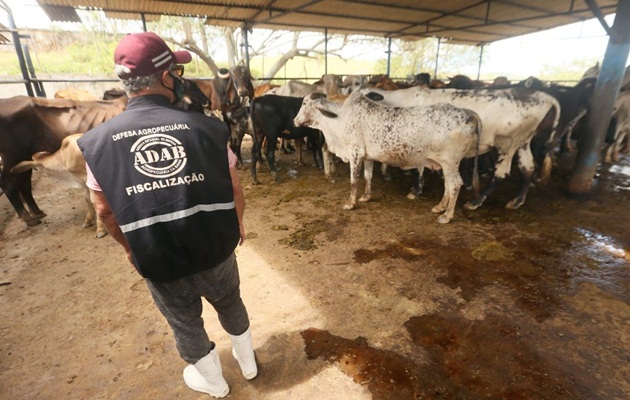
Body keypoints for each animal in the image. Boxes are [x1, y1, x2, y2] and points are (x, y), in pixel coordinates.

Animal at [294, 91, 482, 225]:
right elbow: (368, 176)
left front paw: (350, 203)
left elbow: (354, 181)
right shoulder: (367, 156)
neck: (340, 119)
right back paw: (440, 207)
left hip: (450, 162)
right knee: (448, 185)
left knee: (455, 184)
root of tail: (468, 113)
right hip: (445, 164)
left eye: (304, 103)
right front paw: (366, 197)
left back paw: (447, 216)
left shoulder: (355, 153)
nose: (295, 121)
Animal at [362, 86, 564, 211]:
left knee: (502, 173)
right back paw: (517, 201)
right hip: (523, 144)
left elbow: (418, 169)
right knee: (528, 168)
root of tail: (542, 95)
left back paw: (476, 201)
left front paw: (416, 190)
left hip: (506, 145)